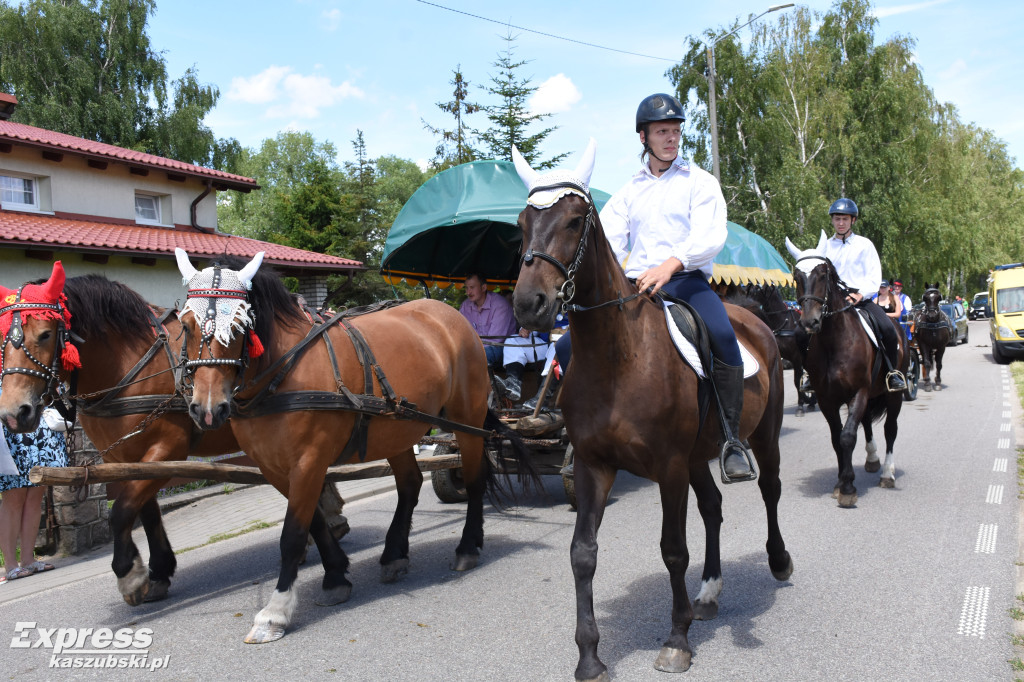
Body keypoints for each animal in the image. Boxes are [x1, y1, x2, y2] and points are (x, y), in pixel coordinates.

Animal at [0, 264, 243, 602]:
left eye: (45, 334)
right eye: (1, 338)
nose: (13, 414)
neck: (129, 363)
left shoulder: (169, 447)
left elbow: (122, 510)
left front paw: (129, 572)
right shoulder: (126, 457)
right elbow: (146, 510)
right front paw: (158, 571)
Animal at [174, 249, 528, 643]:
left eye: (238, 326)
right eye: (186, 325)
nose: (207, 409)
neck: (282, 372)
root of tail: (451, 316)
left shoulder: (309, 462)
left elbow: (292, 534)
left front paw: (275, 612)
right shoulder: (275, 467)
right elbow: (313, 523)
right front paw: (335, 576)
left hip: (467, 420)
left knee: (475, 477)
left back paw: (467, 546)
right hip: (397, 426)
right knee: (410, 484)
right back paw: (394, 554)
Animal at [512, 140, 790, 675]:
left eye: (574, 221)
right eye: (520, 222)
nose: (529, 304)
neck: (619, 358)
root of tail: (755, 320)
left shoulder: (668, 466)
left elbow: (673, 549)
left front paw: (677, 639)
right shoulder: (596, 465)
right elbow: (582, 553)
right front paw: (590, 656)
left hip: (761, 435)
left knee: (769, 489)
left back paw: (778, 561)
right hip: (700, 454)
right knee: (713, 506)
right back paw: (708, 593)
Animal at [786, 235, 909, 503]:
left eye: (823, 274)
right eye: (796, 277)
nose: (810, 322)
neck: (835, 341)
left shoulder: (858, 392)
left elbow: (847, 436)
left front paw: (848, 488)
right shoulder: (827, 399)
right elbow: (837, 438)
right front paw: (841, 482)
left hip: (892, 395)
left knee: (890, 429)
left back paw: (887, 473)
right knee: (866, 423)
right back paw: (872, 459)